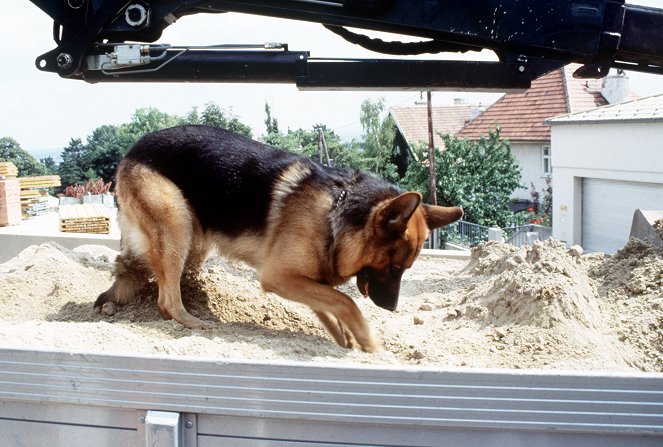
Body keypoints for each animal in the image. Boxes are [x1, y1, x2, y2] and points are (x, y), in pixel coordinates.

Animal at [96, 124, 464, 352]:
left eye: (405, 269)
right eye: (393, 265)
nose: (391, 308)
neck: (337, 211)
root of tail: (132, 149)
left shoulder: (306, 280)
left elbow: (332, 307)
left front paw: (346, 340)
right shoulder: (278, 276)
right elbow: (346, 303)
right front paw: (371, 346)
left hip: (193, 236)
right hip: (177, 227)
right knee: (167, 300)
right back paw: (193, 322)